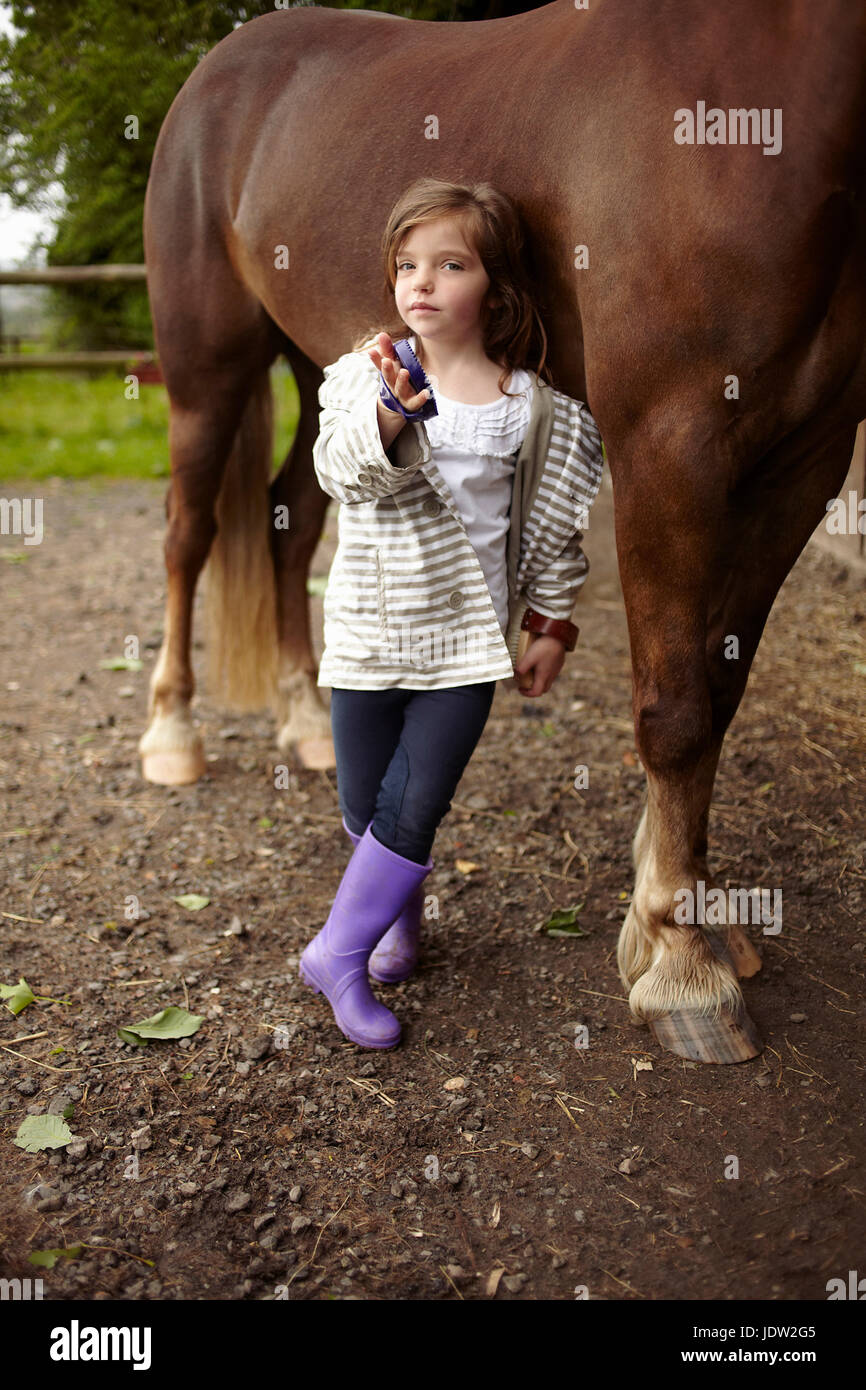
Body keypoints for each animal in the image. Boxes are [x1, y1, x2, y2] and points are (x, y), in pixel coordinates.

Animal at [136, 0, 866, 1061]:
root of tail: (217, 70)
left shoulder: (805, 462)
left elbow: (721, 690)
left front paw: (689, 921)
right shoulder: (671, 440)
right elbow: (677, 707)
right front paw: (680, 968)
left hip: (315, 362)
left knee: (291, 526)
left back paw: (307, 722)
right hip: (208, 365)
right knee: (187, 533)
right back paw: (172, 735)